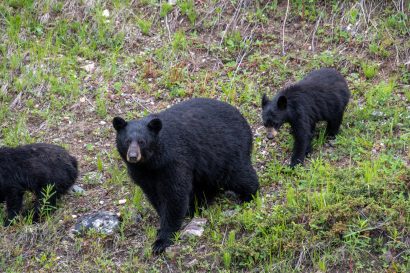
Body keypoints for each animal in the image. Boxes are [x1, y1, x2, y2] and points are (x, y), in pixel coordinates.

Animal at [113, 97, 258, 253]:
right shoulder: (141, 173)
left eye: (142, 142)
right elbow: (154, 195)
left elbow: (174, 194)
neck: (151, 163)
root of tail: (243, 120)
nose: (133, 156)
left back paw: (248, 195)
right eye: (127, 141)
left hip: (226, 150)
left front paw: (162, 240)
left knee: (239, 175)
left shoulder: (174, 160)